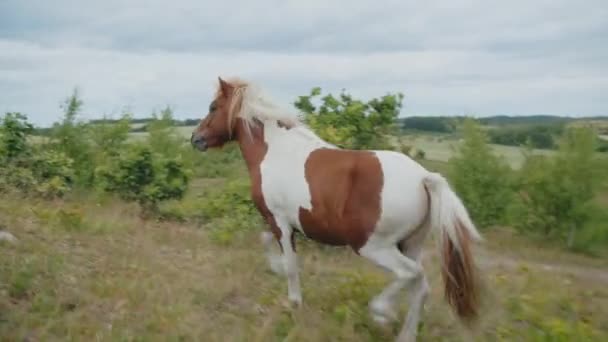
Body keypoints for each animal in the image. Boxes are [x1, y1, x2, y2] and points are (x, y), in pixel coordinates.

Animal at [190, 77, 484, 342]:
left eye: (213, 106)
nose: (195, 138)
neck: (274, 151)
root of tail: (424, 177)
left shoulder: (280, 222)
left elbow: (290, 264)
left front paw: (294, 302)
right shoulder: (281, 224)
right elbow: (267, 243)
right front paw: (278, 272)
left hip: (372, 246)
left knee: (410, 274)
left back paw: (381, 313)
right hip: (410, 244)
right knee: (420, 288)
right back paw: (404, 335)